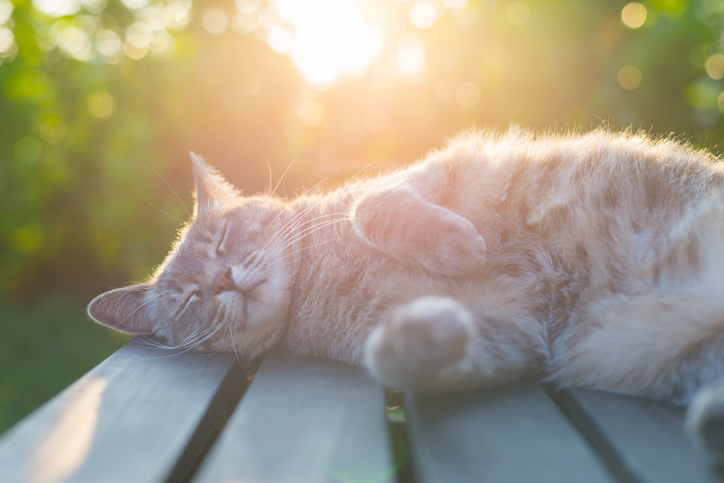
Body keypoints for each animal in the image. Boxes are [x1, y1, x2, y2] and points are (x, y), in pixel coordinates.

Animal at [89, 127, 724, 450]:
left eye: (222, 240)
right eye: (188, 299)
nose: (221, 280)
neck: (321, 277)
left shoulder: (430, 171)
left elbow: (373, 207)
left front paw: (457, 244)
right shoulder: (518, 334)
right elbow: (399, 361)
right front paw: (419, 333)